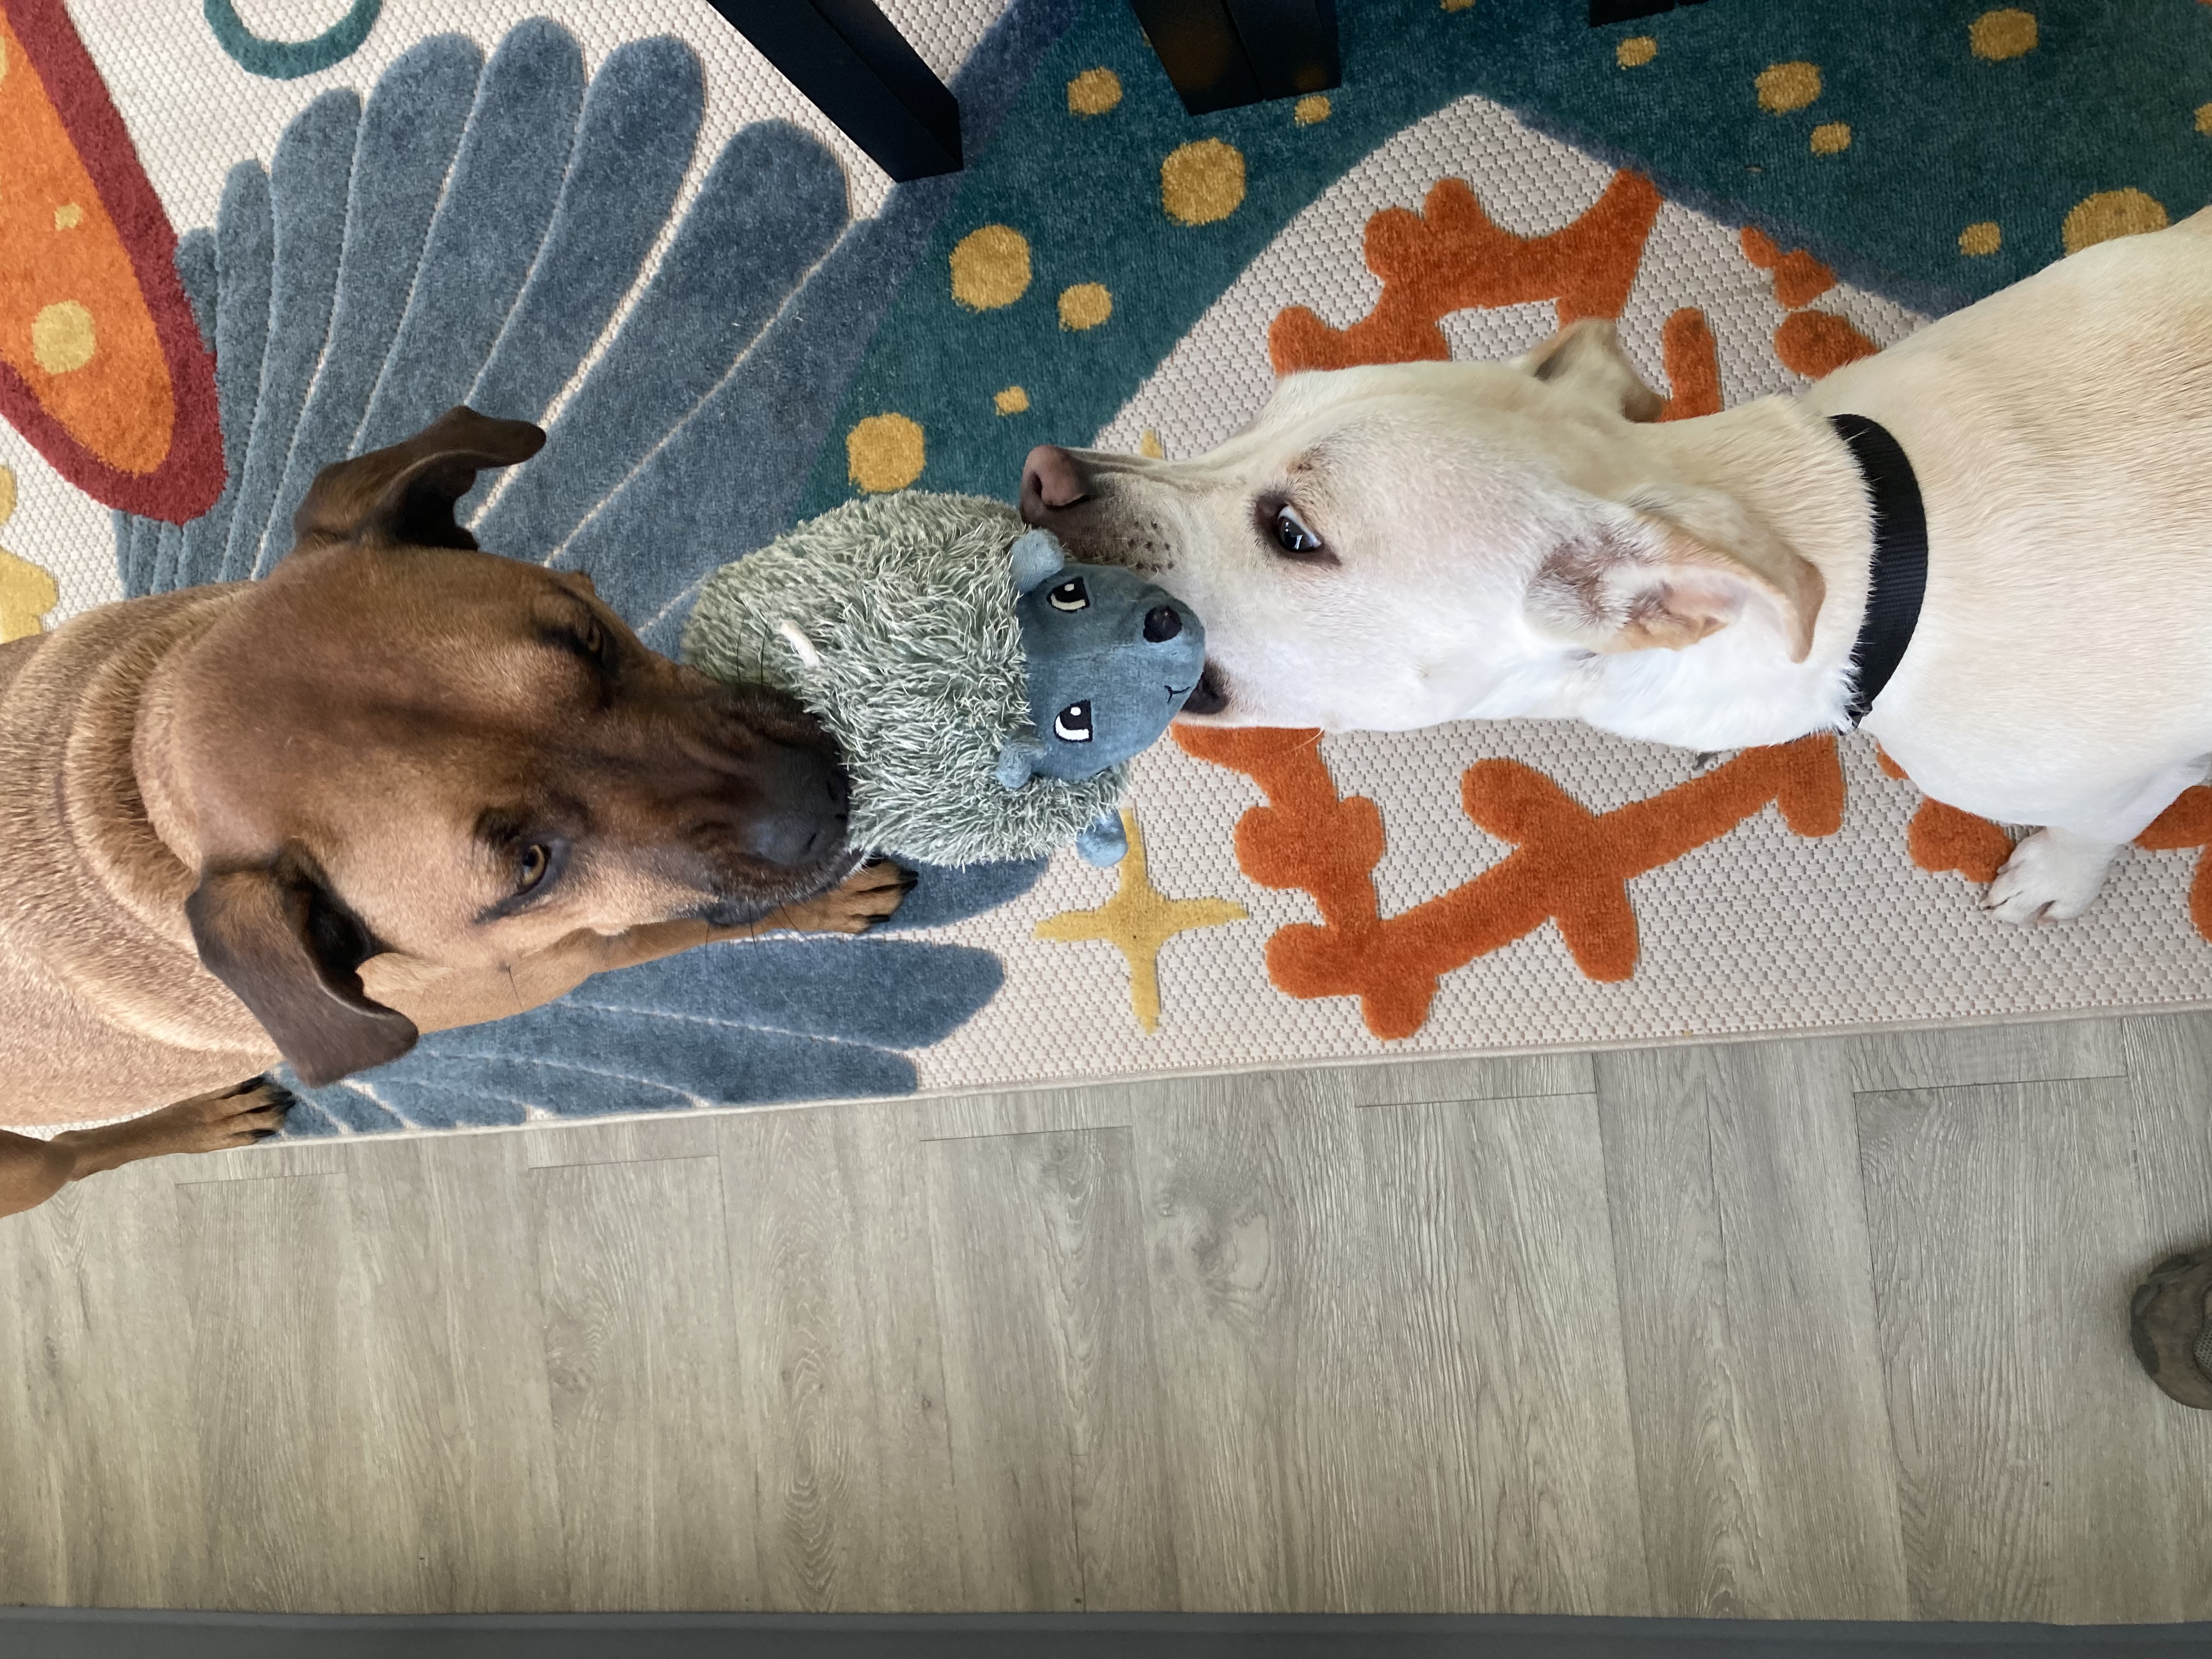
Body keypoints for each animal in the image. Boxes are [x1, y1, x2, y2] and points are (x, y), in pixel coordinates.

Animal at [0, 408, 905, 1219]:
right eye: (529, 868)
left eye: (589, 640)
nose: (826, 792)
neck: (137, 772)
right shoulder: (580, 949)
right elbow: (705, 920)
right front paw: (830, 899)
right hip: (28, 1170)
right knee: (75, 1154)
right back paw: (198, 1121)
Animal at [1021, 207, 2212, 930]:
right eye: (1258, 417)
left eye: (1294, 533)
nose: (1040, 478)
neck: (1871, 537)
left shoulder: (2122, 779)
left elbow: (2099, 826)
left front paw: (2057, 879)